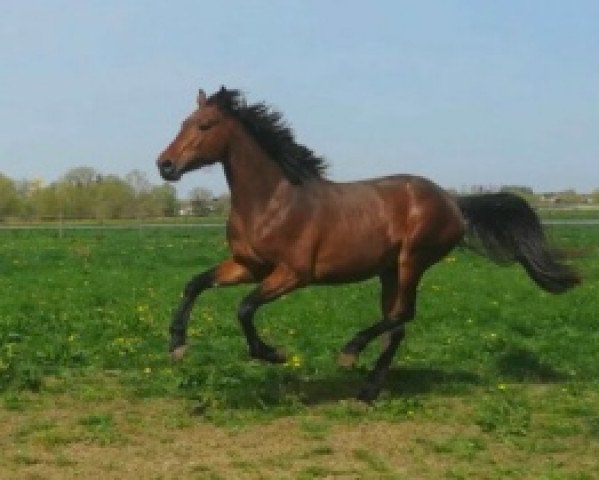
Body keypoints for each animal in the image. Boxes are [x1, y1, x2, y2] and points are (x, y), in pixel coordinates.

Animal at [156, 86, 580, 402]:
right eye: (183, 122)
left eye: (205, 125)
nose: (165, 165)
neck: (273, 200)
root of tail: (453, 201)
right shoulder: (248, 266)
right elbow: (194, 284)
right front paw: (177, 345)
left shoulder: (293, 273)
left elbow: (244, 308)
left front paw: (273, 353)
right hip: (388, 271)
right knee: (398, 325)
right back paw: (368, 389)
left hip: (412, 261)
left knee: (402, 315)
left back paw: (350, 354)